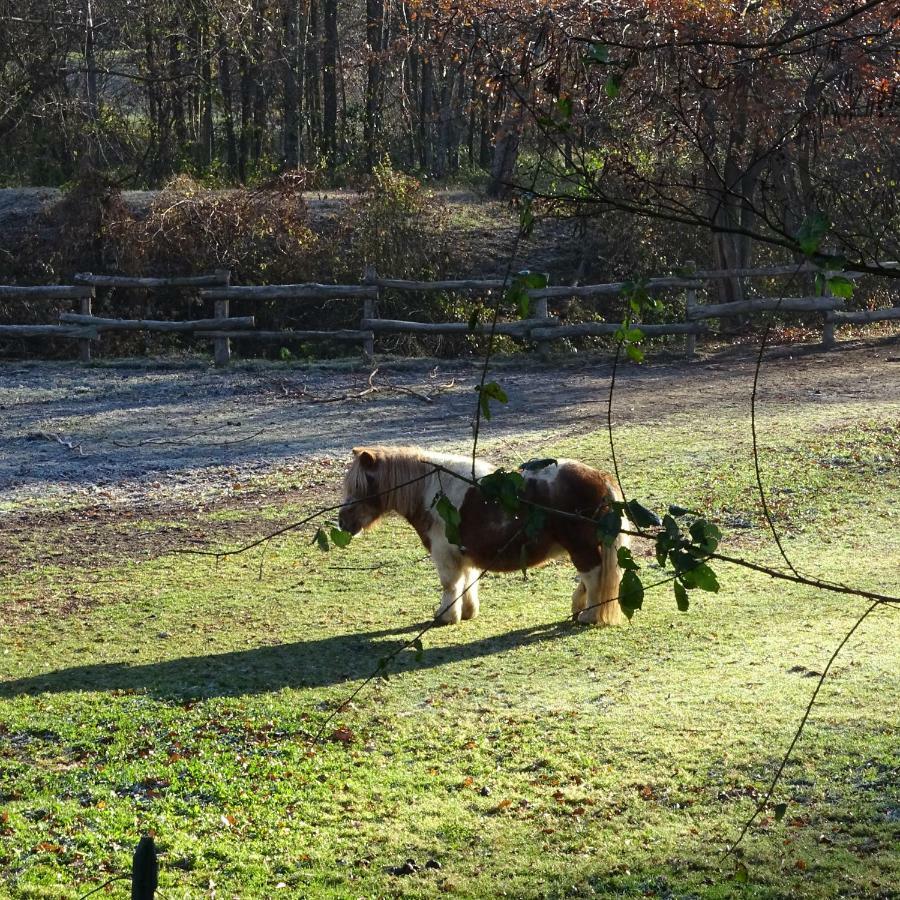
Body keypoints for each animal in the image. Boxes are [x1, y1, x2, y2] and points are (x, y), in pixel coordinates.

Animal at [340, 444, 632, 624]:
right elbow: (468, 582)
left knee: (593, 577)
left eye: (363, 485)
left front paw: (446, 616)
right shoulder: (465, 555)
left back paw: (588, 616)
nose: (343, 522)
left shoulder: (445, 554)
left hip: (581, 548)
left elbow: (450, 585)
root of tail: (601, 478)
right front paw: (468, 612)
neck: (433, 491)